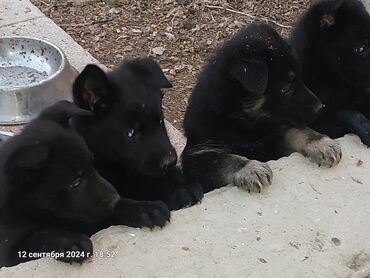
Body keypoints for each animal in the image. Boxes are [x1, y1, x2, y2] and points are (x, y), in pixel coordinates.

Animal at [0, 101, 170, 268]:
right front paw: (69, 242)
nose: (114, 199)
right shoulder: (8, 253)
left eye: (93, 165)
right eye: (76, 183)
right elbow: (43, 234)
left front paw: (145, 208)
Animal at [182, 23, 342, 193]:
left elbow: (295, 130)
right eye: (286, 88)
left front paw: (321, 143)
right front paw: (251, 169)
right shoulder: (199, 158)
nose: (320, 108)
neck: (242, 119)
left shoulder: (274, 133)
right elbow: (225, 160)